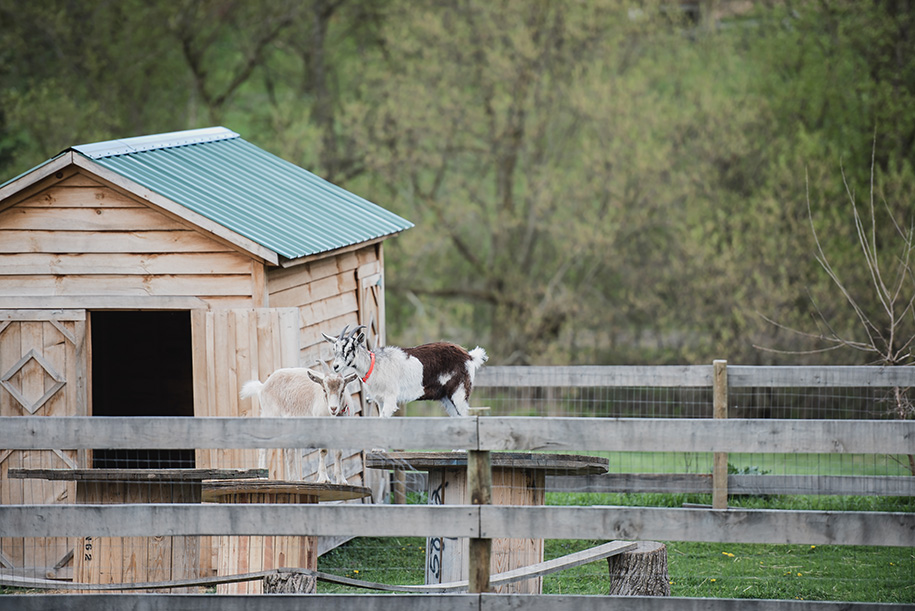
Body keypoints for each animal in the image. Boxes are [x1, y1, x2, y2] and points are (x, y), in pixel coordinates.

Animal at [326, 326, 490, 420]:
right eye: (334, 349)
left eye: (350, 349)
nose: (336, 366)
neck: (374, 364)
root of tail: (469, 356)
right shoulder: (379, 400)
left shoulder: (390, 397)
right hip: (446, 398)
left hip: (459, 392)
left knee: (465, 416)